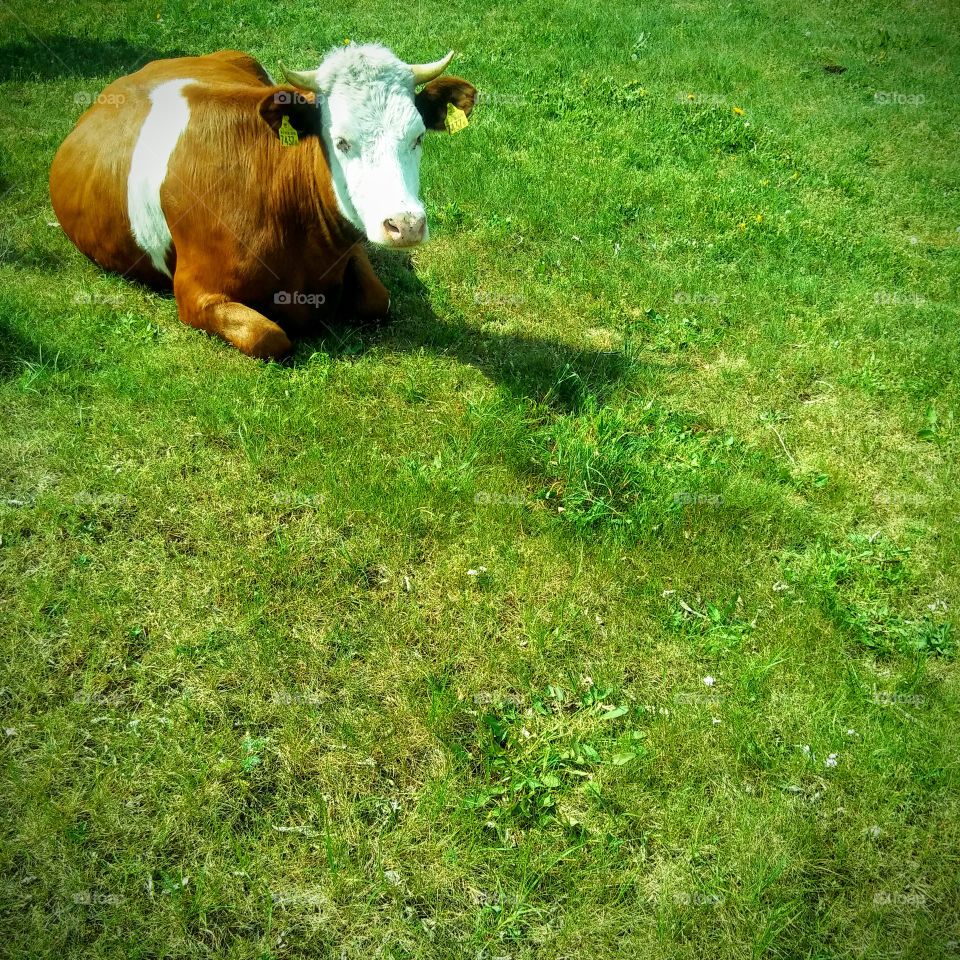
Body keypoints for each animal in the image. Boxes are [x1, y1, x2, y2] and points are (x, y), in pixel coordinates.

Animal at [49, 46, 476, 358]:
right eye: (341, 141)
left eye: (418, 136)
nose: (405, 224)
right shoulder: (193, 291)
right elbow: (268, 337)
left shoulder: (350, 244)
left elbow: (377, 299)